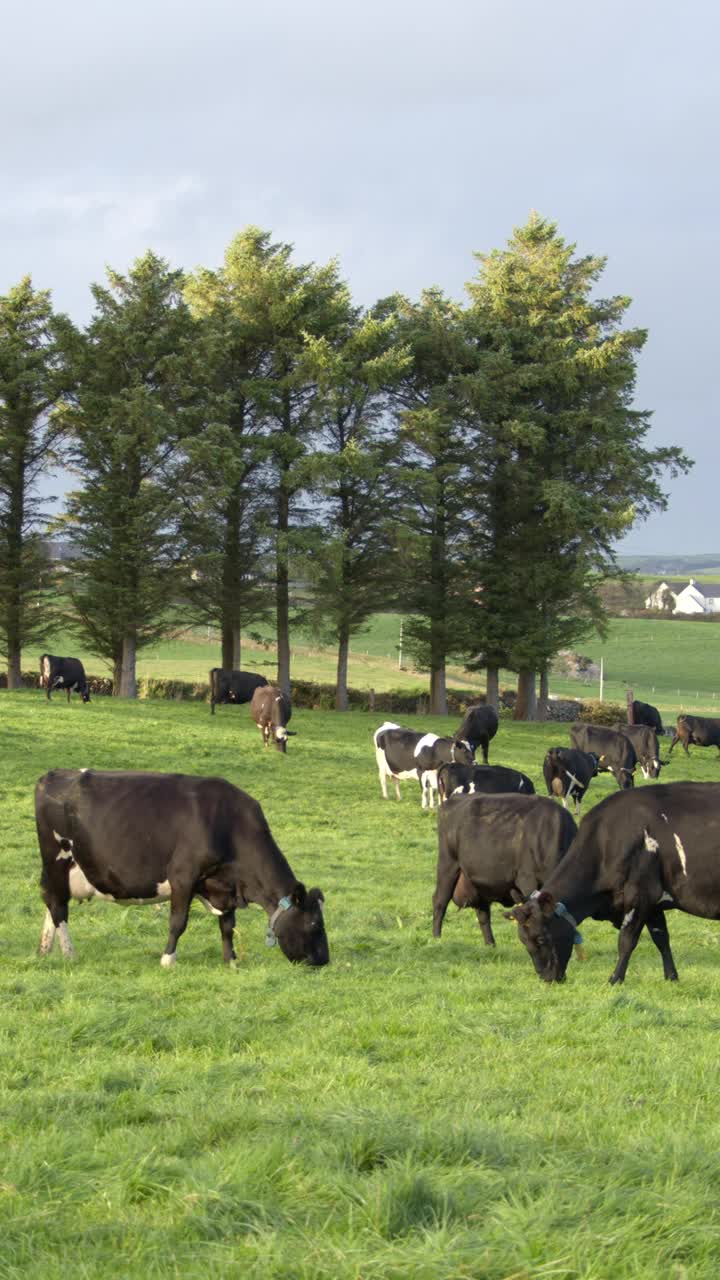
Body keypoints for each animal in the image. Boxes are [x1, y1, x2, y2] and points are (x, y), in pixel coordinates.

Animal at [33, 762, 325, 962]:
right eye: (314, 924)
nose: (324, 960)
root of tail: (54, 774)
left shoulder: (225, 883)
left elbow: (228, 926)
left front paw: (231, 961)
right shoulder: (183, 876)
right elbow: (178, 922)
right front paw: (167, 960)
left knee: (51, 901)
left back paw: (44, 949)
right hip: (57, 858)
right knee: (57, 906)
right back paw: (70, 953)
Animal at [430, 788, 576, 952]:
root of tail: (452, 800)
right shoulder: (527, 880)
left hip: (478, 882)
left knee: (482, 913)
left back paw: (490, 945)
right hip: (448, 865)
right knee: (439, 901)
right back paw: (437, 938)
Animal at [504, 773, 717, 983]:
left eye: (541, 938)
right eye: (523, 940)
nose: (547, 978)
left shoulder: (639, 895)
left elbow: (626, 940)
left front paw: (615, 979)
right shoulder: (654, 903)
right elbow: (661, 938)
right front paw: (671, 977)